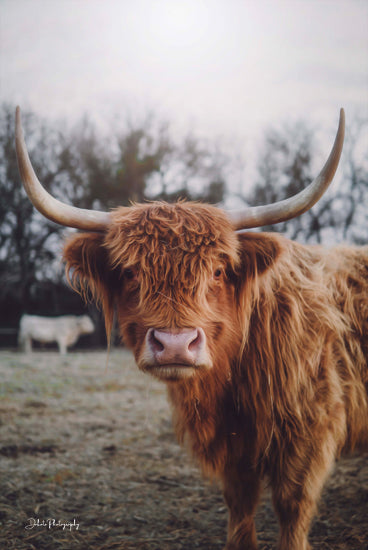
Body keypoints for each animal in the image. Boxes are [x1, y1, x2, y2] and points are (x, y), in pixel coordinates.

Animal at [15, 109, 366, 550]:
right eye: (130, 272)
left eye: (217, 271)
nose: (175, 345)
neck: (232, 382)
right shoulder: (233, 449)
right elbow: (240, 505)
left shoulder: (308, 432)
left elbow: (292, 508)